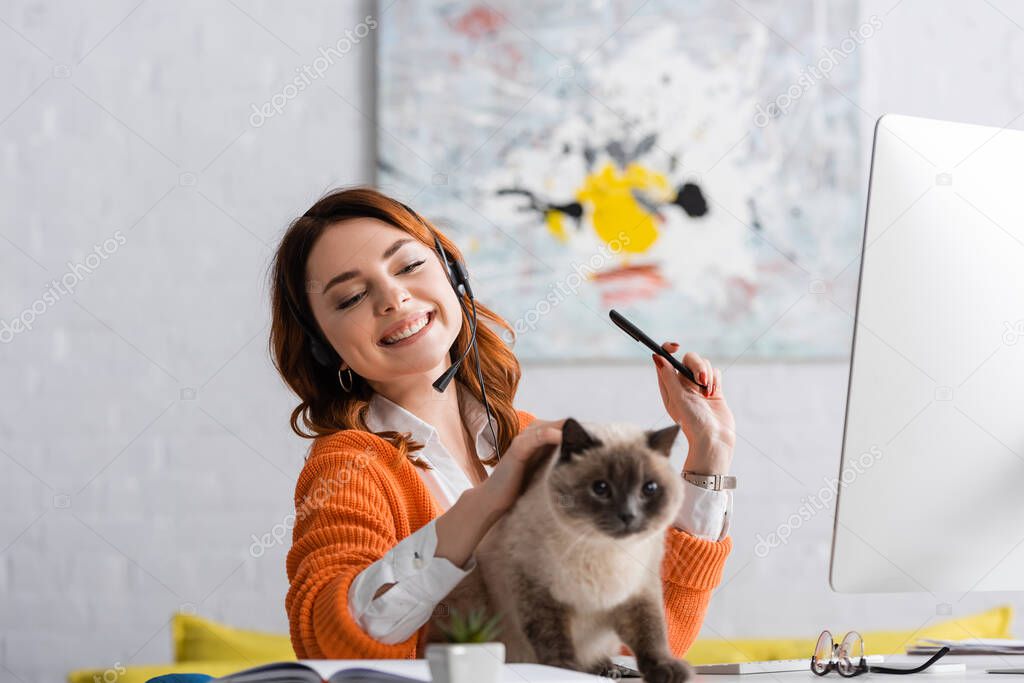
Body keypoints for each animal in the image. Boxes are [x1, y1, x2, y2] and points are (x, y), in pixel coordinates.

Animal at [428, 419, 692, 679]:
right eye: (601, 488)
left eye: (649, 488)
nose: (629, 515)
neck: (603, 548)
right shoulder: (537, 590)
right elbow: (552, 637)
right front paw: (565, 669)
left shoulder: (639, 593)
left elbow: (651, 636)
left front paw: (667, 670)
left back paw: (607, 668)